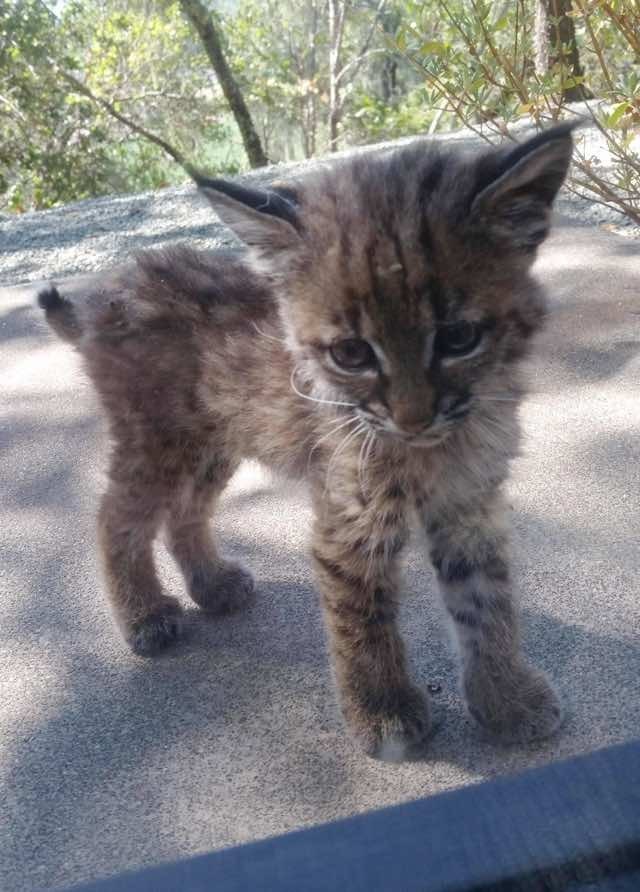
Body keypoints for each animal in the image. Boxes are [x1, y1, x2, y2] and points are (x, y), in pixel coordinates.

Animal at [40, 122, 576, 760]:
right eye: (351, 353)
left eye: (459, 338)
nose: (413, 419)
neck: (442, 441)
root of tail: (110, 287)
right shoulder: (353, 515)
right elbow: (360, 613)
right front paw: (383, 712)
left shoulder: (468, 501)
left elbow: (486, 603)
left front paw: (504, 696)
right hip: (158, 441)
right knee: (116, 516)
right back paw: (144, 614)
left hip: (214, 442)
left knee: (184, 511)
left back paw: (212, 583)